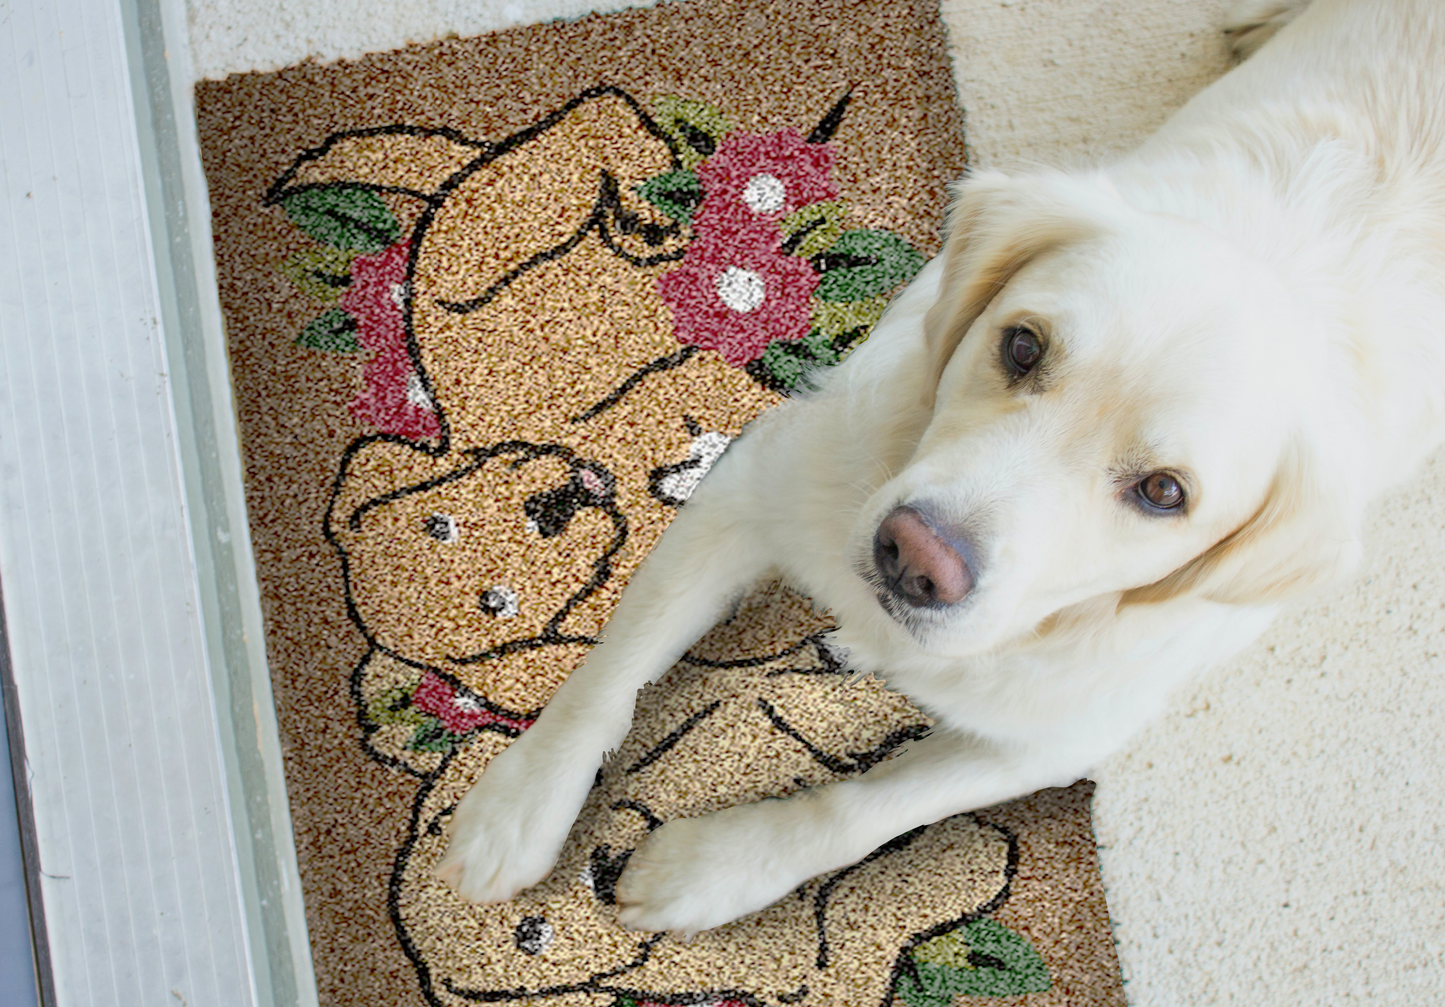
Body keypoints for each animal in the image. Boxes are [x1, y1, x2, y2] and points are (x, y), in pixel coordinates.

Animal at [436, 0, 1445, 930]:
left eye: (1165, 493)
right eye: (1022, 345)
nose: (913, 558)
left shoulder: (1055, 737)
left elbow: (861, 810)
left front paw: (716, 867)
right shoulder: (753, 485)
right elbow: (608, 674)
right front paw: (518, 805)